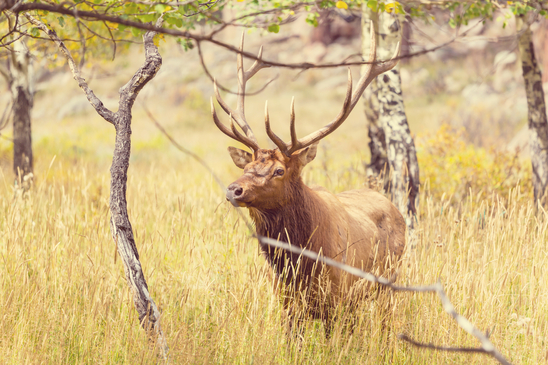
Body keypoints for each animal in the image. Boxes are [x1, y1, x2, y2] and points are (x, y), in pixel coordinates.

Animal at [212, 23, 404, 332]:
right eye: (245, 167)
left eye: (279, 171)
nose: (234, 190)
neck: (299, 265)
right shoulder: (287, 304)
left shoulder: (337, 299)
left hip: (389, 280)